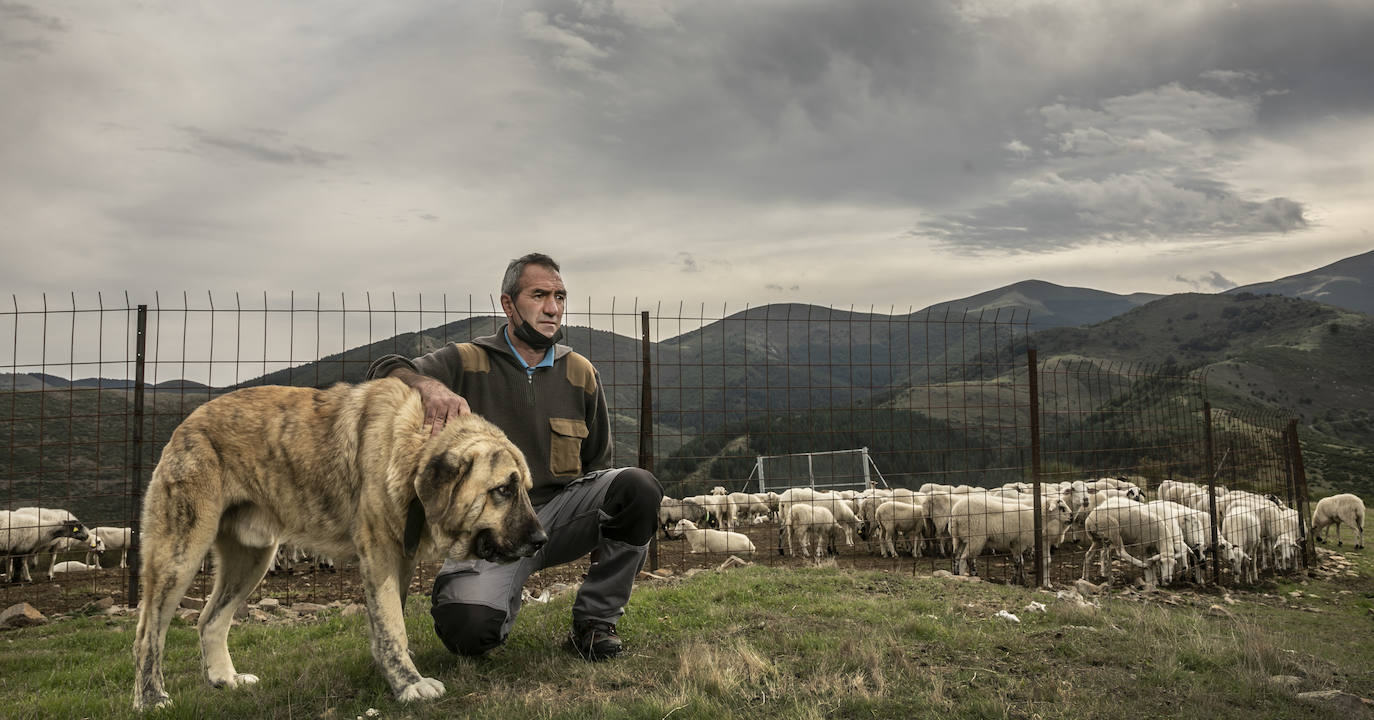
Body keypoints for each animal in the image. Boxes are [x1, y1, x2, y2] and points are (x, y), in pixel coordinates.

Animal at [133, 379, 546, 709]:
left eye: (526, 490)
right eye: (502, 490)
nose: (541, 540)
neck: (411, 453)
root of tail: (187, 424)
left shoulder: (401, 560)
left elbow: (389, 622)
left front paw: (392, 672)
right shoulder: (379, 555)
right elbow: (392, 625)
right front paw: (409, 685)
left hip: (251, 558)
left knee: (209, 619)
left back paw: (225, 679)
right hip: (180, 552)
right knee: (149, 631)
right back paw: (151, 698)